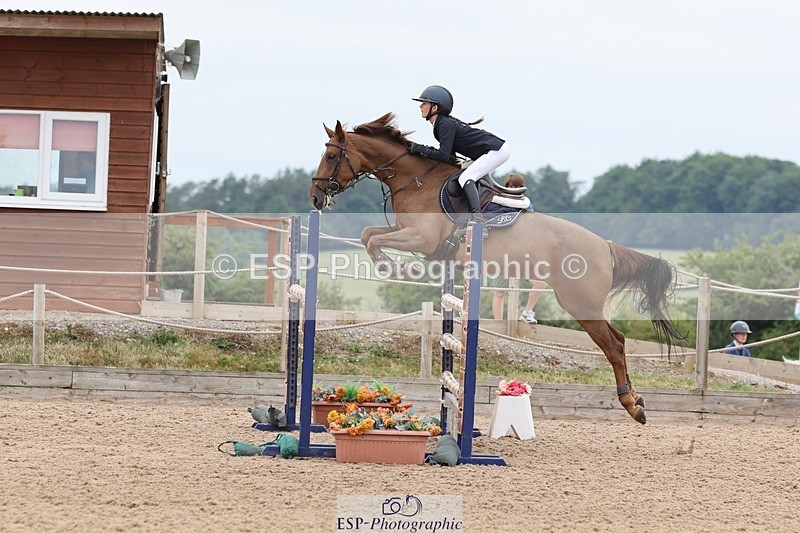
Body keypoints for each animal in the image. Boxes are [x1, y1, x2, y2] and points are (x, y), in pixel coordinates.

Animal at [309, 113, 683, 424]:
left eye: (332, 156)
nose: (315, 197)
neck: (415, 179)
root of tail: (605, 246)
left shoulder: (421, 238)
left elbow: (372, 239)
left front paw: (394, 267)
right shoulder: (407, 232)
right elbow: (367, 234)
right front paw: (391, 265)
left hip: (580, 303)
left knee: (614, 345)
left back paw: (633, 405)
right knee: (617, 340)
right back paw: (637, 401)